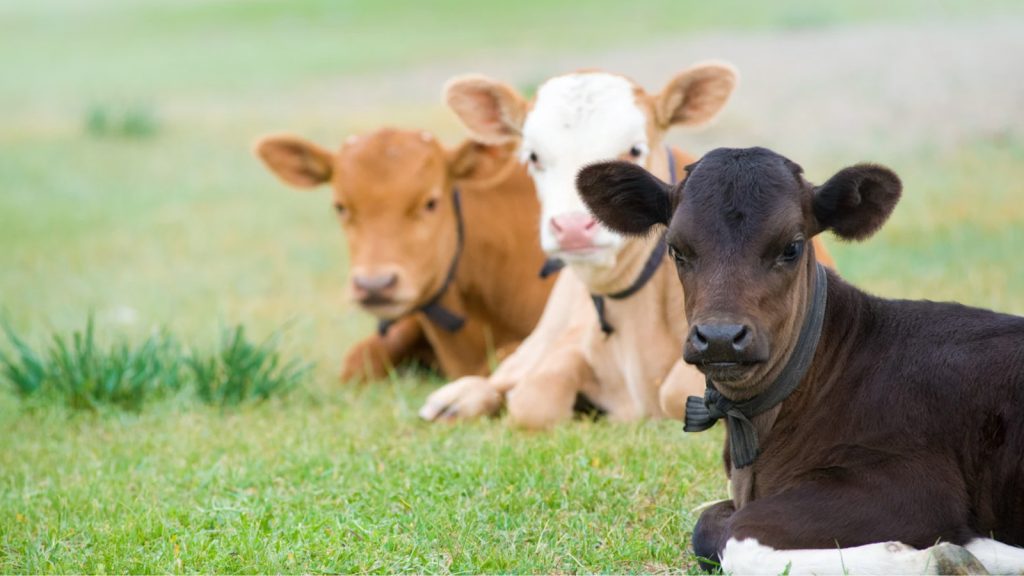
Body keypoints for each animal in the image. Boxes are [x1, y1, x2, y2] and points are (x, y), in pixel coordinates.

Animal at [576, 146, 1024, 574]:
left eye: (790, 247)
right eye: (676, 249)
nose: (720, 338)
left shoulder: (914, 485)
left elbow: (737, 537)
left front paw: (941, 556)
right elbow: (708, 526)